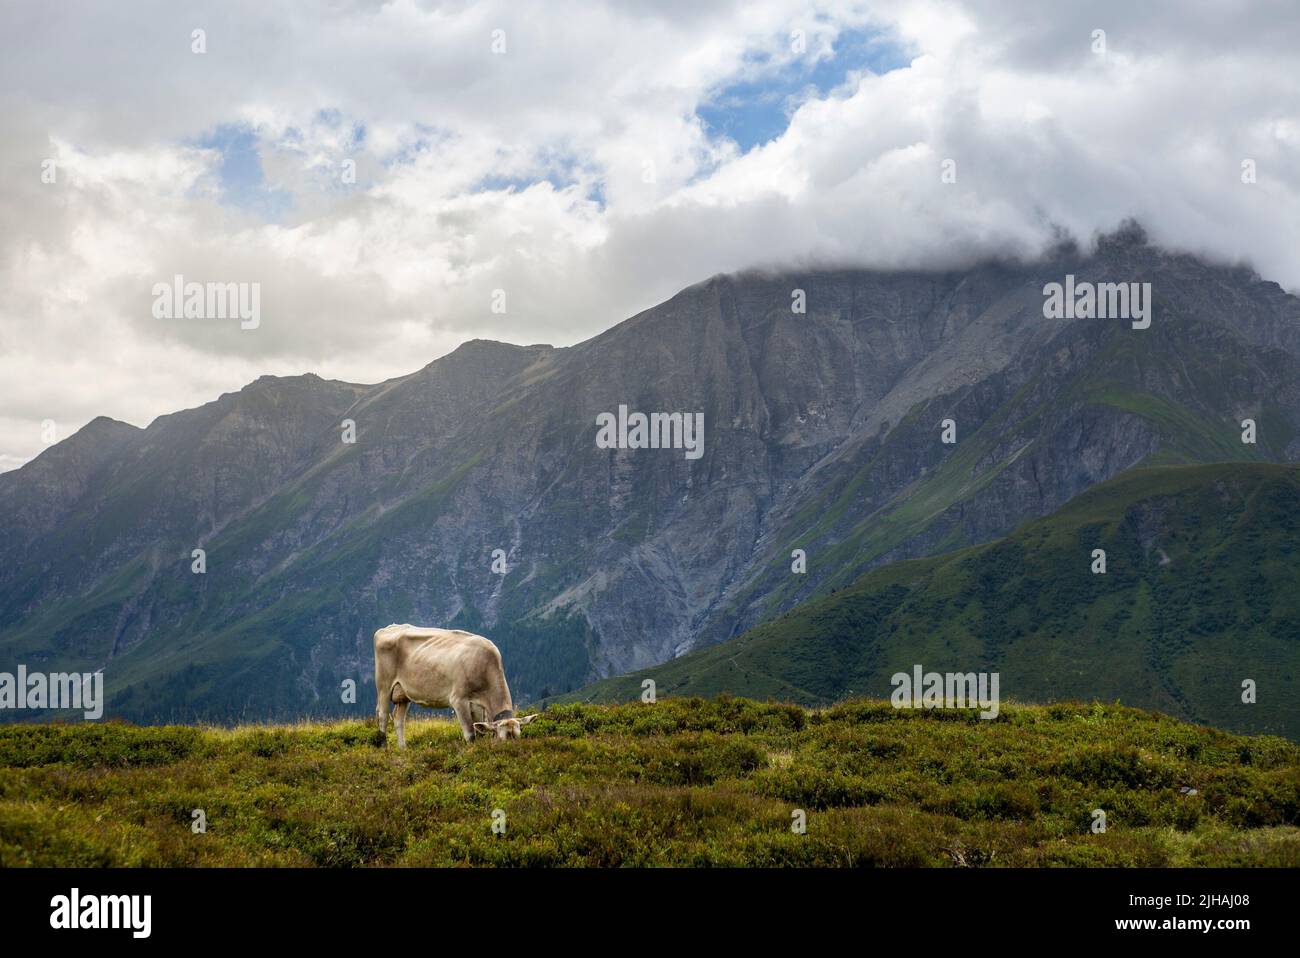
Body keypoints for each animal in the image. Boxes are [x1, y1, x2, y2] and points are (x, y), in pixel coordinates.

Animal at [372, 624, 538, 747]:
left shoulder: (478, 706)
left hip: (403, 693)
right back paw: (384, 748)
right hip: (383, 686)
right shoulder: (459, 700)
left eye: (518, 736)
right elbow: (470, 734)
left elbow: (479, 731)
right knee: (382, 716)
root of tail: (390, 627)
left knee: (398, 719)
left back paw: (403, 749)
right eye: (503, 739)